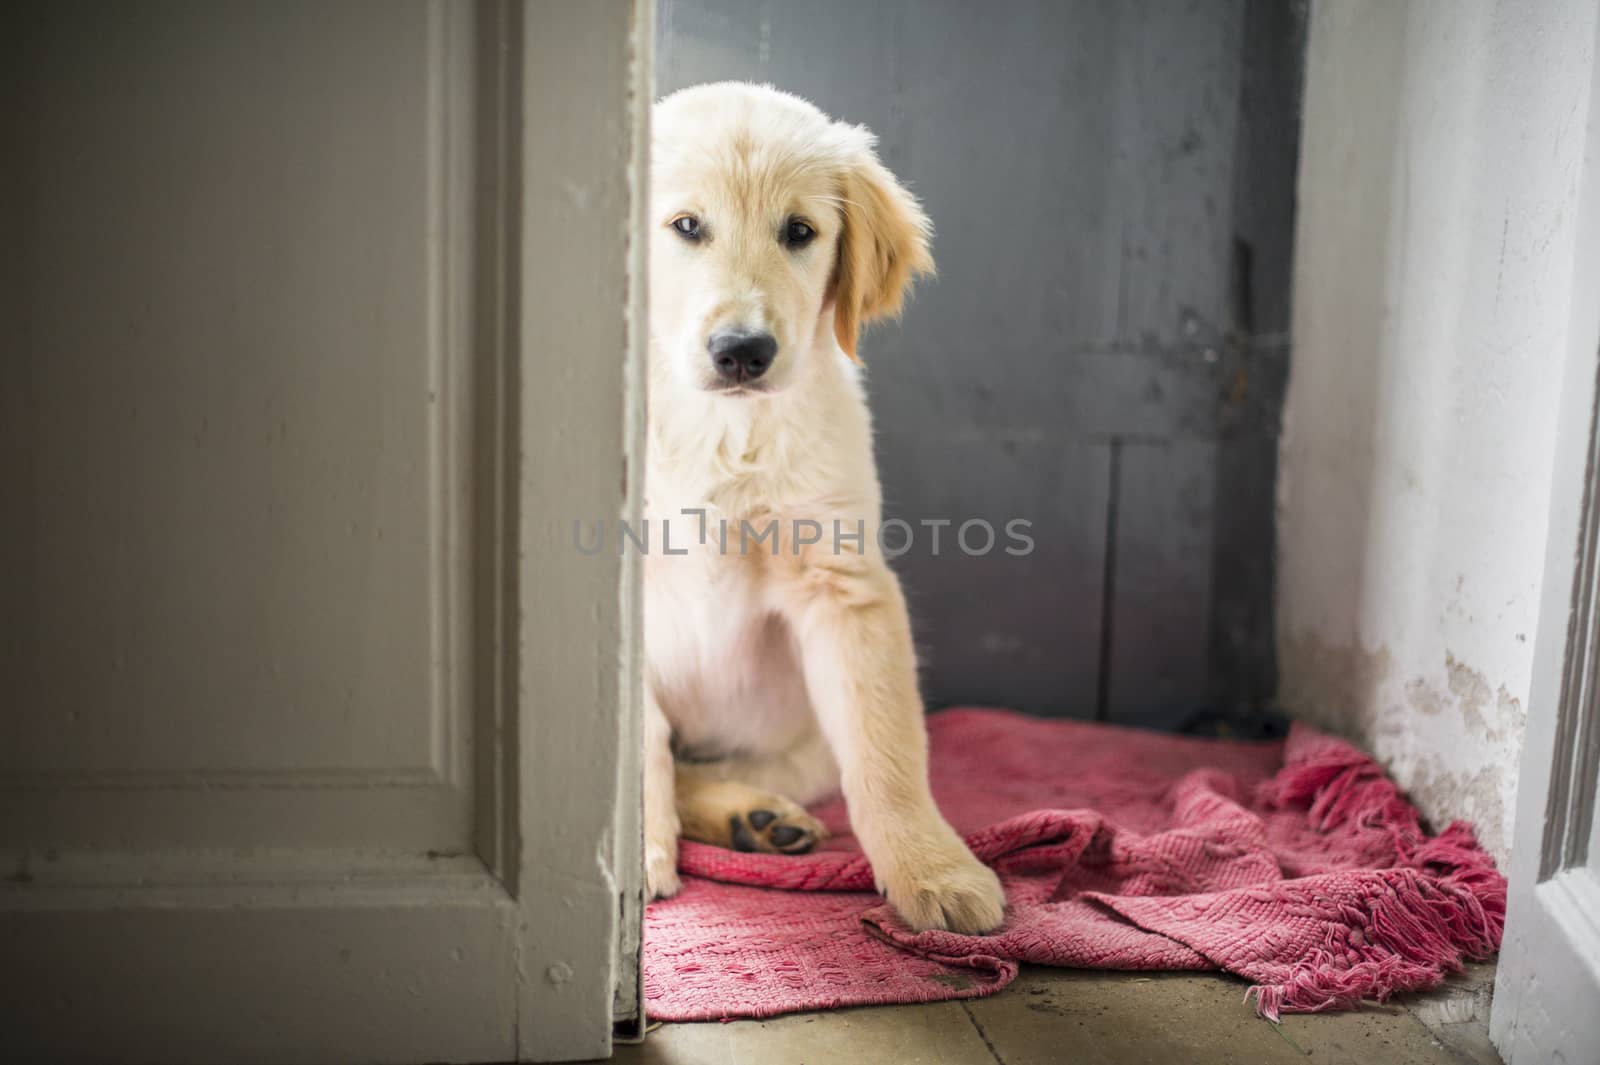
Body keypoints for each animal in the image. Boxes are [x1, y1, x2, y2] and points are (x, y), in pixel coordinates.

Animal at [640, 83, 998, 927]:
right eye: (686, 226)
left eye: (799, 231)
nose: (743, 351)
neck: (719, 430)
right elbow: (635, 740)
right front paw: (628, 849)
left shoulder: (844, 582)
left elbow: (887, 751)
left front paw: (933, 869)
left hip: (801, 742)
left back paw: (756, 817)